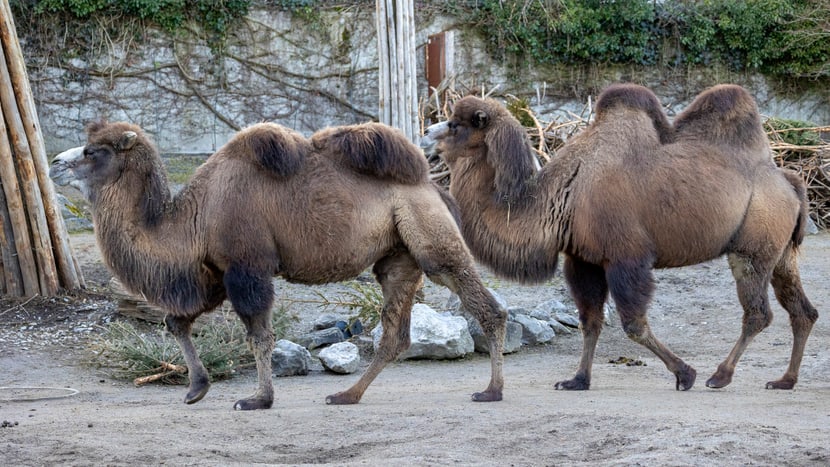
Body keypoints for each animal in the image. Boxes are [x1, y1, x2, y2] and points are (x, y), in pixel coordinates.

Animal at [52, 119, 510, 410]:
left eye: (94, 151)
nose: (56, 162)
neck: (195, 217)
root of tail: (434, 187)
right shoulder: (216, 273)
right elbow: (176, 322)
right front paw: (197, 388)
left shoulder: (247, 267)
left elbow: (259, 336)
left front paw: (258, 399)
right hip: (398, 256)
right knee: (395, 333)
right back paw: (347, 395)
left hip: (429, 236)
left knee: (482, 301)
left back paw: (491, 390)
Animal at [422, 83, 820, 392]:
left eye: (455, 125)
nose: (425, 135)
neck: (563, 194)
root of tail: (790, 181)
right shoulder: (583, 259)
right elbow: (591, 321)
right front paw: (577, 380)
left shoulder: (626, 257)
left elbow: (633, 324)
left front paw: (685, 373)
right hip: (781, 251)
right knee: (802, 310)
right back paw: (785, 380)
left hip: (752, 247)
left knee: (758, 313)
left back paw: (720, 376)